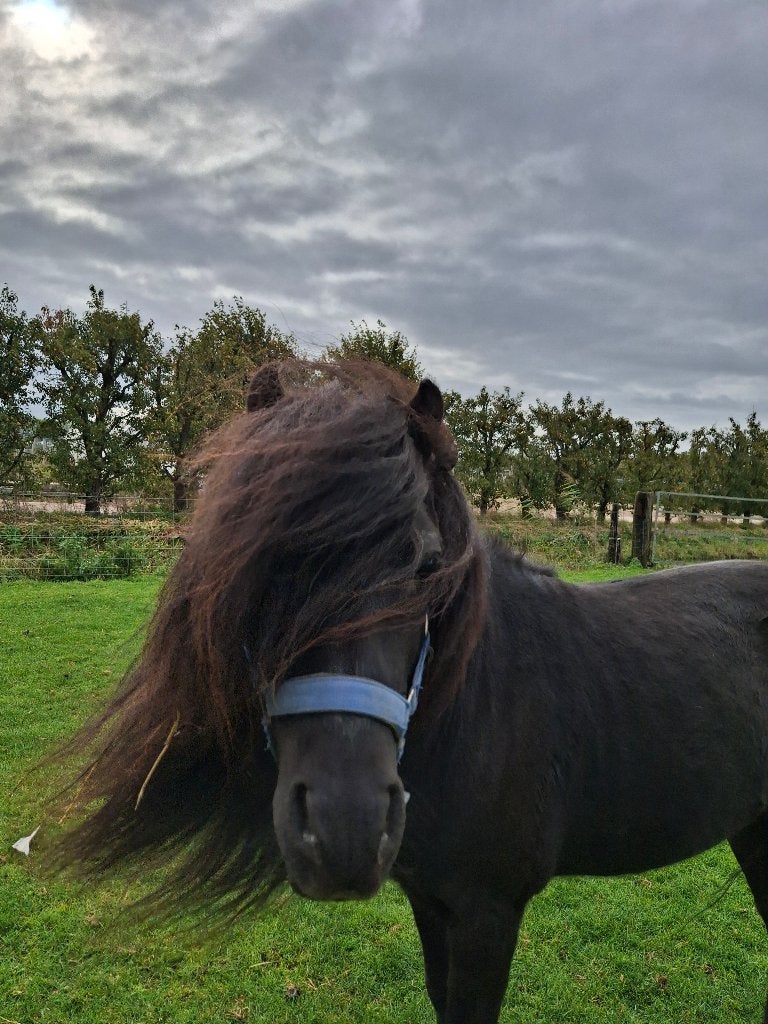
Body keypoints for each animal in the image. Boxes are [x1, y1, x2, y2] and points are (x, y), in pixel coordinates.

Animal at [49, 361, 768, 1024]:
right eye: (263, 560)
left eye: (427, 566)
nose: (344, 829)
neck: (474, 711)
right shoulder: (431, 900)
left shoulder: (487, 912)